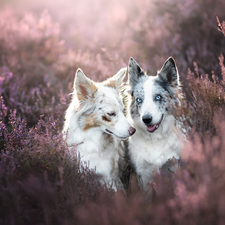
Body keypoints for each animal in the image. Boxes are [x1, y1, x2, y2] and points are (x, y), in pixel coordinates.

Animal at [126, 56, 185, 193]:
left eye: (158, 97)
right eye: (139, 100)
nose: (146, 119)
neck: (155, 138)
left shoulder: (172, 165)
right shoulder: (143, 174)